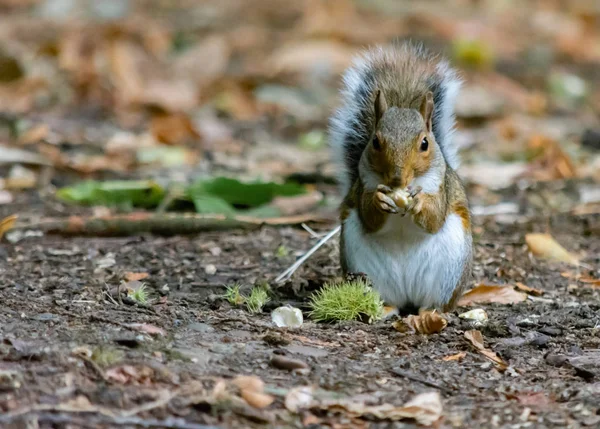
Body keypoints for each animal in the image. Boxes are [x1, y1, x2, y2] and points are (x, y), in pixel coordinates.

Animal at [328, 42, 474, 310]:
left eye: (425, 143)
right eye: (375, 141)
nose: (397, 179)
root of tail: (408, 295)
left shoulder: (442, 188)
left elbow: (434, 218)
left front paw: (419, 202)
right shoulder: (362, 186)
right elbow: (369, 217)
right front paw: (379, 200)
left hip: (449, 273)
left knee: (434, 302)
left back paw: (429, 313)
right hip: (363, 266)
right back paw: (385, 308)